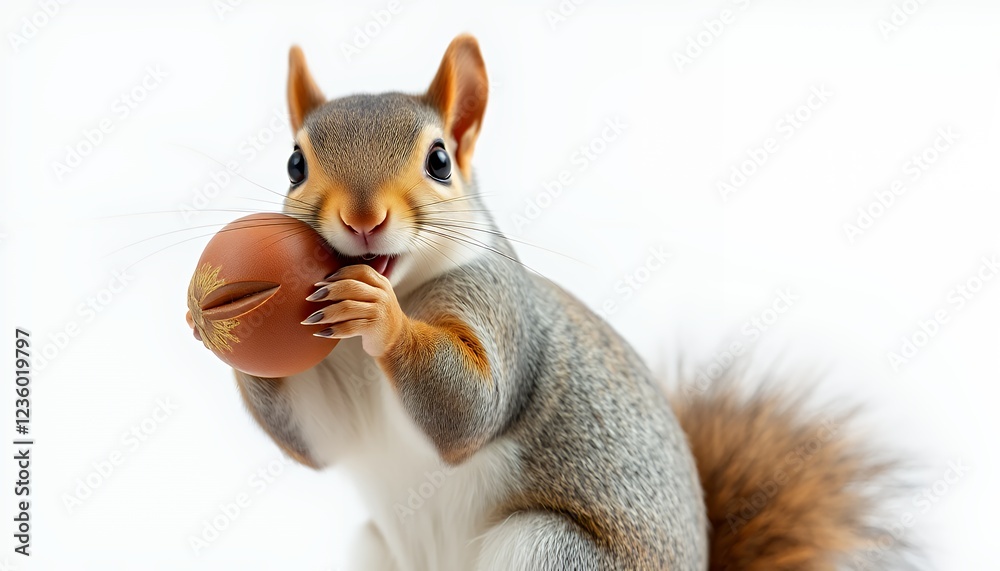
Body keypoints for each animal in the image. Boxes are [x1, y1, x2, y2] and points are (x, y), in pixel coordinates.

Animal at [228, 35, 905, 570]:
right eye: (294, 163)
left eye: (440, 160)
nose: (363, 219)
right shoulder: (336, 388)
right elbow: (315, 438)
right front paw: (223, 325)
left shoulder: (502, 310)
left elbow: (471, 407)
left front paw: (382, 315)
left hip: (547, 548)